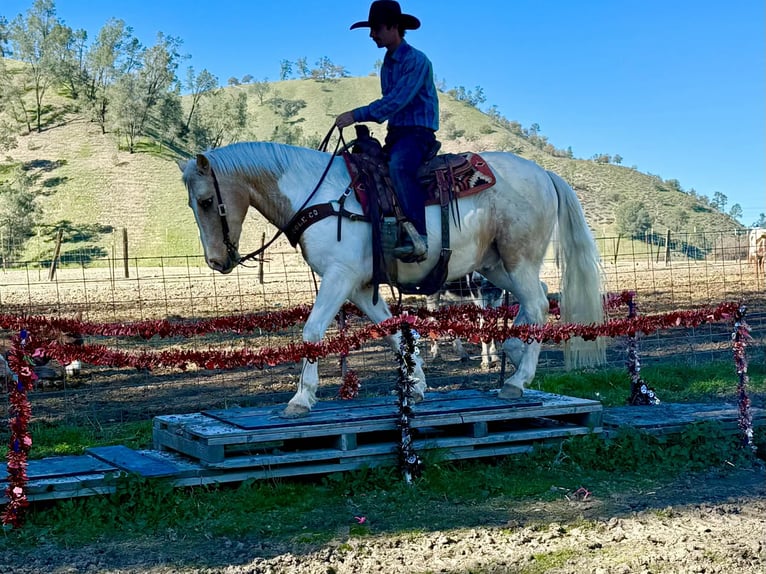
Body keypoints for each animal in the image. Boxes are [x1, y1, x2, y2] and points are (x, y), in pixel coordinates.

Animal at [178, 140, 605, 418]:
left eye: (205, 201)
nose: (216, 261)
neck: (317, 195)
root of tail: (544, 173)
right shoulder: (360, 286)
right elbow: (392, 330)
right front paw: (417, 384)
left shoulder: (340, 276)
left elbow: (313, 331)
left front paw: (301, 398)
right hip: (495, 266)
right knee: (539, 296)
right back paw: (514, 352)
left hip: (518, 258)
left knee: (537, 302)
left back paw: (518, 379)